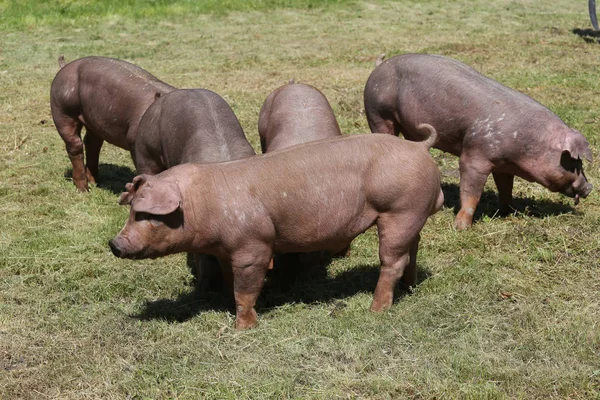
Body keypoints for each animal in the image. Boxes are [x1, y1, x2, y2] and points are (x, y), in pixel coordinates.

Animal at [50, 55, 175, 192]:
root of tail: (66, 66)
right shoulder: (136, 145)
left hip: (92, 120)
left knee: (92, 143)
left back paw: (95, 183)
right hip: (62, 110)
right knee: (75, 145)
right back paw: (84, 190)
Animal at [109, 134, 446, 328]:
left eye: (144, 214)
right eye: (131, 210)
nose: (114, 244)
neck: (203, 202)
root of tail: (419, 146)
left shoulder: (254, 245)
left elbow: (246, 288)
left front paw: (243, 327)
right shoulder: (225, 250)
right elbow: (230, 280)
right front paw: (226, 306)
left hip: (400, 210)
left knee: (393, 260)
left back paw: (375, 310)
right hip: (413, 214)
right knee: (413, 249)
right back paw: (409, 288)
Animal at [364, 53, 592, 230]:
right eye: (573, 162)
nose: (589, 187)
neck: (529, 143)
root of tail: (379, 66)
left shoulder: (504, 165)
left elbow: (505, 188)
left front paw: (508, 212)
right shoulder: (474, 155)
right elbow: (471, 193)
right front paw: (462, 228)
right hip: (377, 113)